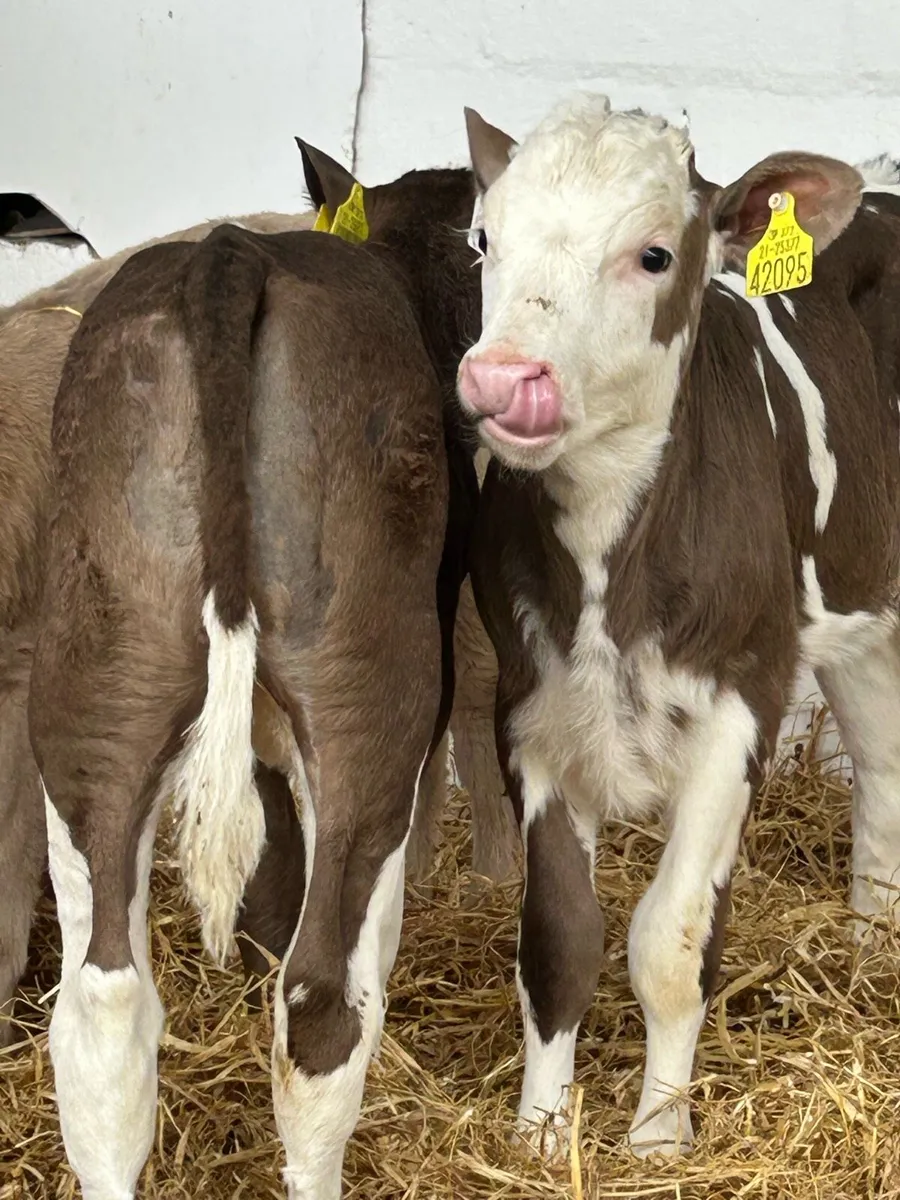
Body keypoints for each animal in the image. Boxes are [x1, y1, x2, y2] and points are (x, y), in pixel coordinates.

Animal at [456, 92, 900, 1160]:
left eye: (655, 254)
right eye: (486, 238)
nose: (503, 379)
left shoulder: (745, 694)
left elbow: (672, 938)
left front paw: (660, 1134)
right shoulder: (530, 705)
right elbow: (560, 937)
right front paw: (541, 1133)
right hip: (855, 602)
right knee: (881, 767)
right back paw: (868, 946)